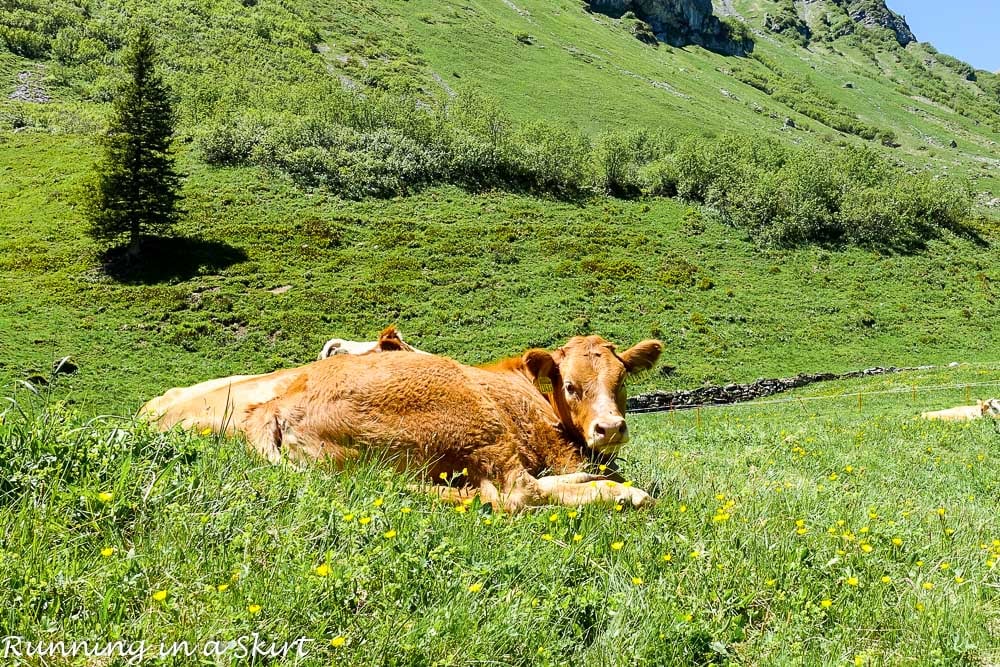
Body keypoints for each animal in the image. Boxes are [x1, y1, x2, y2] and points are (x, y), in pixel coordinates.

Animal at [137, 332, 660, 512]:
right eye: (570, 385)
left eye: (621, 380)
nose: (610, 428)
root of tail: (276, 406)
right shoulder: (555, 448)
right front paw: (617, 484)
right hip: (475, 421)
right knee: (517, 493)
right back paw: (620, 494)